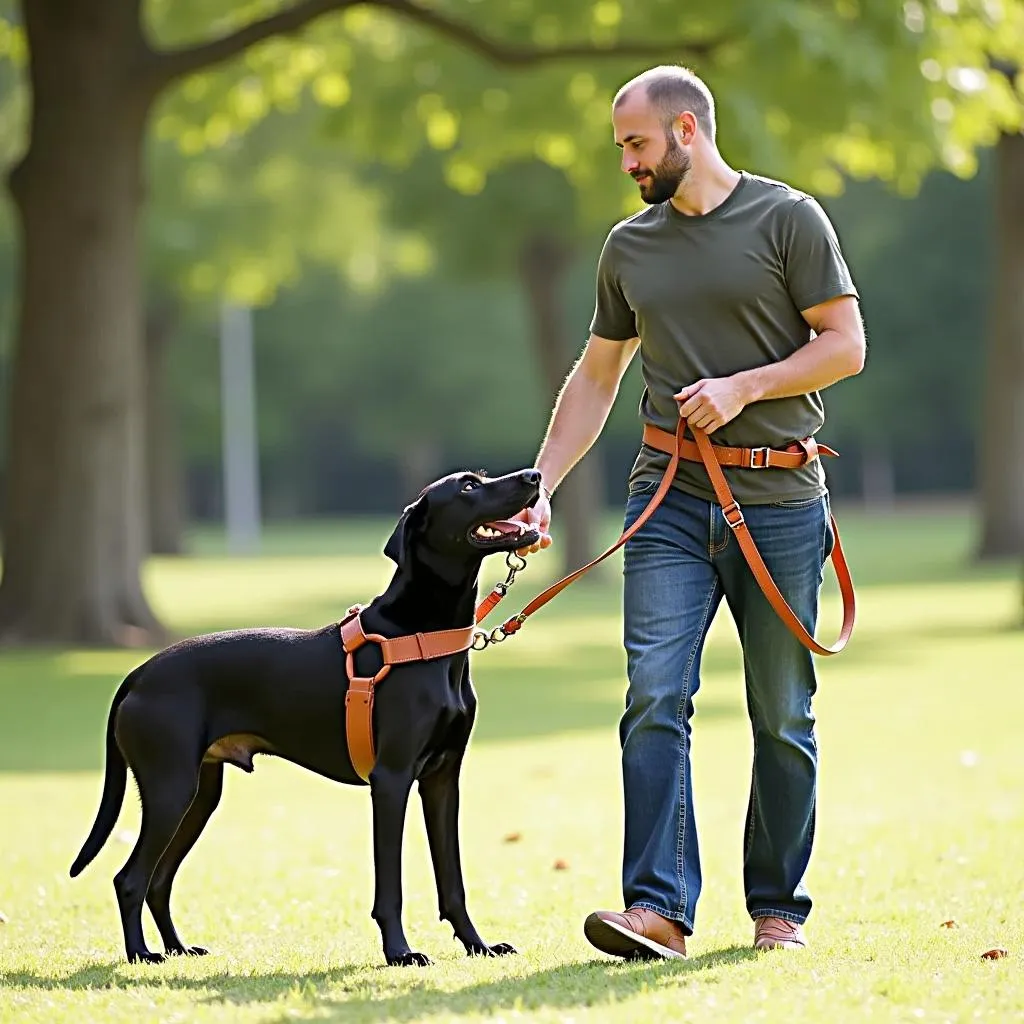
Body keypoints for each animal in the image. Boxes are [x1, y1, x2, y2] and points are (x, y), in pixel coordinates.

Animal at [70, 468, 544, 962]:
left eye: (482, 477)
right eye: (468, 487)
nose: (534, 476)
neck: (420, 635)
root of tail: (138, 675)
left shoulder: (442, 779)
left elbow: (453, 882)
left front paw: (478, 945)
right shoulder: (391, 780)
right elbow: (390, 886)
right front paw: (399, 953)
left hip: (199, 795)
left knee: (159, 880)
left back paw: (179, 948)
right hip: (171, 790)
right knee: (130, 879)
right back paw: (142, 954)